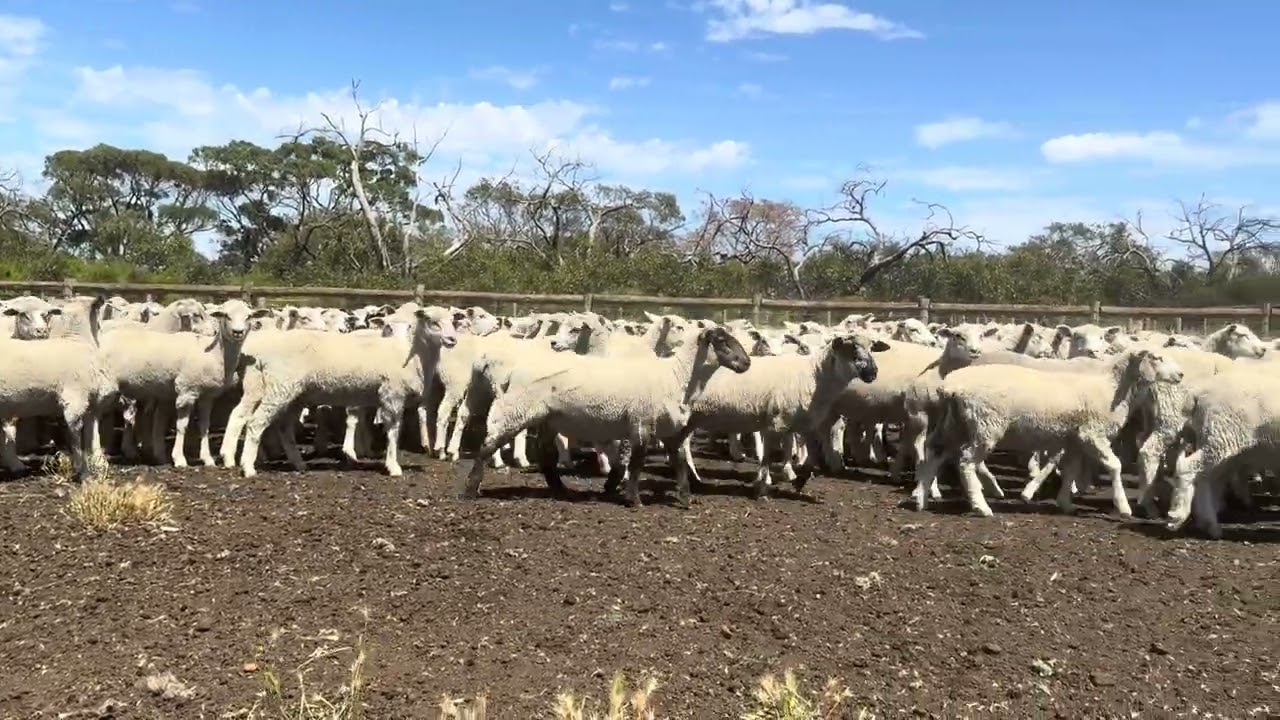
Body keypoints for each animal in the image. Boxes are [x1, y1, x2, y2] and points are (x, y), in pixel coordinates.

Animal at [463, 325, 752, 507]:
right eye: (722, 341)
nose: (747, 363)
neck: (677, 376)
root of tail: (513, 373)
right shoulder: (641, 422)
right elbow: (637, 463)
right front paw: (634, 500)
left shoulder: (667, 429)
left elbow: (678, 462)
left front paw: (685, 498)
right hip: (515, 410)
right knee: (487, 446)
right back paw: (469, 491)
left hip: (547, 417)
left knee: (545, 455)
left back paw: (560, 489)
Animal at [916, 349, 1185, 517]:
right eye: (1157, 357)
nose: (1181, 374)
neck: (1112, 387)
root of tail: (950, 387)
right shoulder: (1092, 433)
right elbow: (1115, 466)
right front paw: (1123, 506)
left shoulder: (1076, 439)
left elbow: (1072, 470)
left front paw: (1065, 503)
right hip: (985, 425)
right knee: (966, 462)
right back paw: (980, 506)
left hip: (955, 424)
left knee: (935, 451)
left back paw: (921, 498)